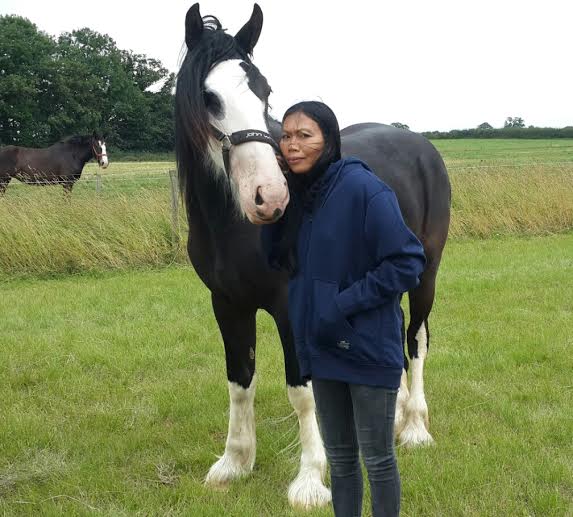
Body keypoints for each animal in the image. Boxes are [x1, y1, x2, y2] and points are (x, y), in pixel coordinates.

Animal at [175, 3, 450, 509]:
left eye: (264, 90)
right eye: (208, 97)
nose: (269, 196)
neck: (235, 224)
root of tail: (418, 144)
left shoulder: (292, 308)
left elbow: (302, 392)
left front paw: (310, 480)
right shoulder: (227, 304)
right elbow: (239, 380)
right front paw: (234, 463)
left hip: (426, 275)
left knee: (416, 339)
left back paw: (415, 428)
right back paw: (395, 417)